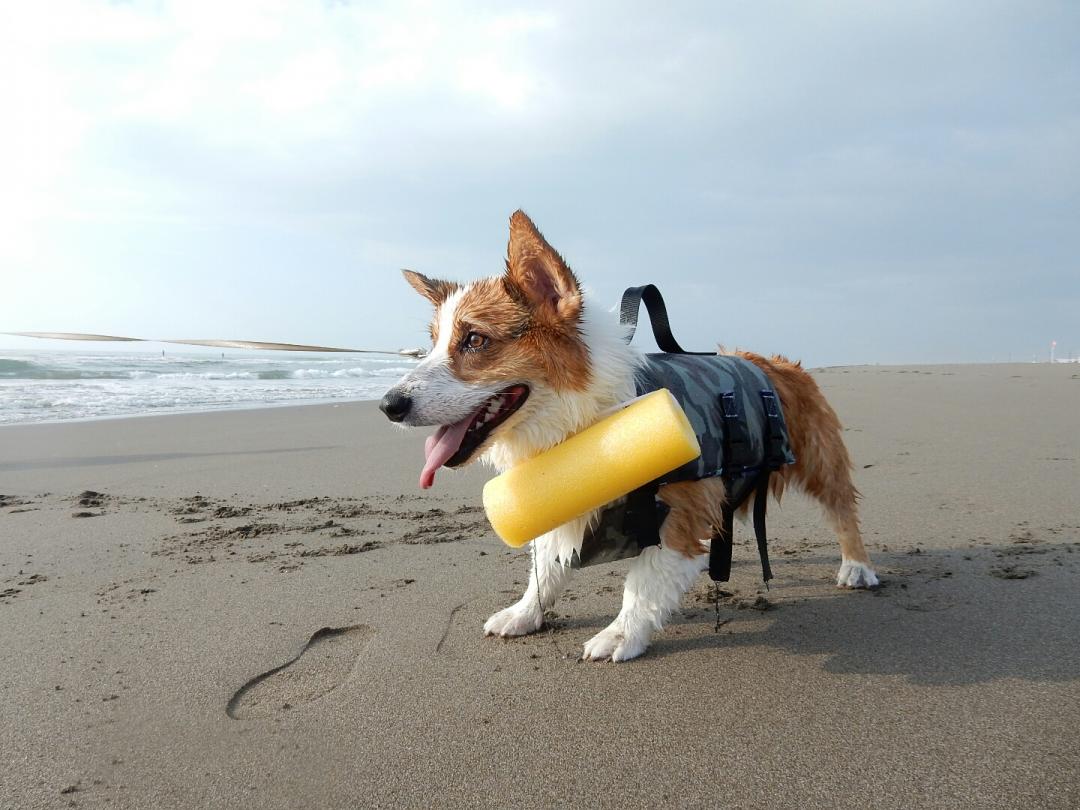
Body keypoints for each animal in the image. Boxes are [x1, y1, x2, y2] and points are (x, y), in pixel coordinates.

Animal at [380, 210, 878, 662]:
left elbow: (640, 588)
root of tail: (777, 362)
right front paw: (524, 615)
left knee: (842, 508)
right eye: (431, 345)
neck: (581, 418)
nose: (388, 405)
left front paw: (618, 637)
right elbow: (544, 570)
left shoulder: (677, 519)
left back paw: (857, 566)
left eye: (475, 340)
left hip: (820, 460)